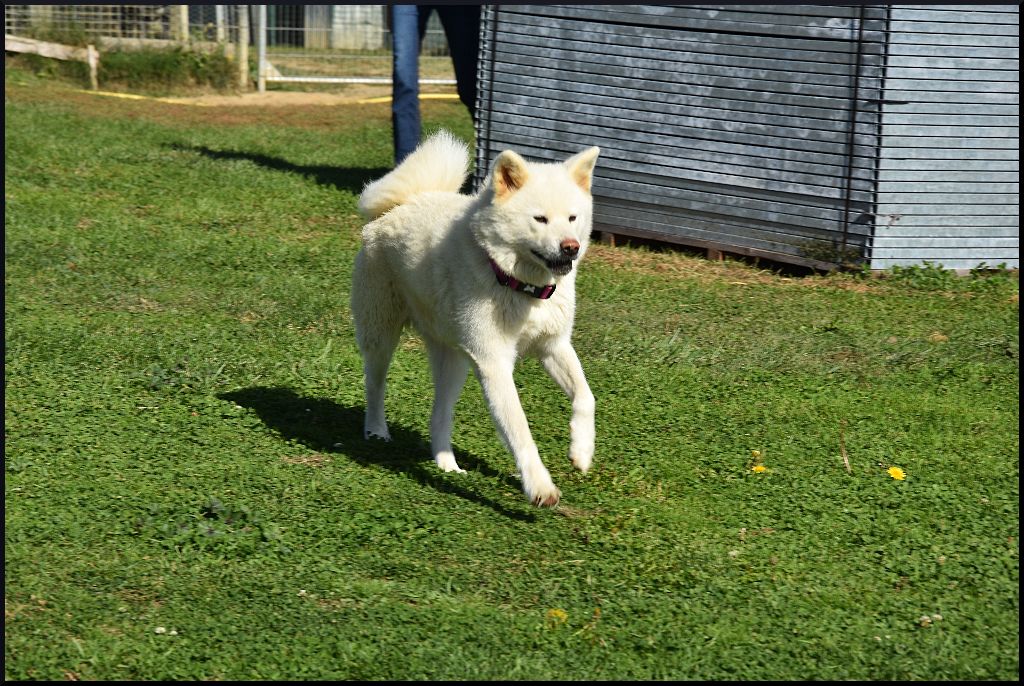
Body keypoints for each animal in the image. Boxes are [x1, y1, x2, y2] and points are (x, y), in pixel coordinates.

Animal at [352, 132, 598, 507]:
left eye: (572, 218)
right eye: (540, 219)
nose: (570, 247)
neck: (520, 285)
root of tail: (403, 202)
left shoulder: (553, 346)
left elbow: (586, 397)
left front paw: (582, 452)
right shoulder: (494, 363)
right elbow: (521, 431)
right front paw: (540, 487)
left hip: (454, 362)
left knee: (439, 415)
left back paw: (446, 464)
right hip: (381, 335)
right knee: (375, 385)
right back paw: (377, 430)